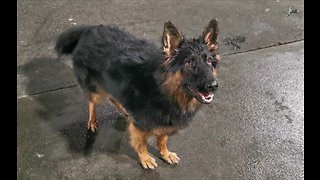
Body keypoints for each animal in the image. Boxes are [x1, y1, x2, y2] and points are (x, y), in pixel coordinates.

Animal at [55, 19, 220, 169]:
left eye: (209, 61)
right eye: (189, 62)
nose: (213, 86)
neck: (164, 89)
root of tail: (89, 29)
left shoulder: (166, 122)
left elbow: (163, 140)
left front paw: (165, 153)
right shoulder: (141, 127)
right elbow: (141, 144)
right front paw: (145, 158)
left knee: (112, 97)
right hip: (95, 89)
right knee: (91, 102)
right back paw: (92, 121)